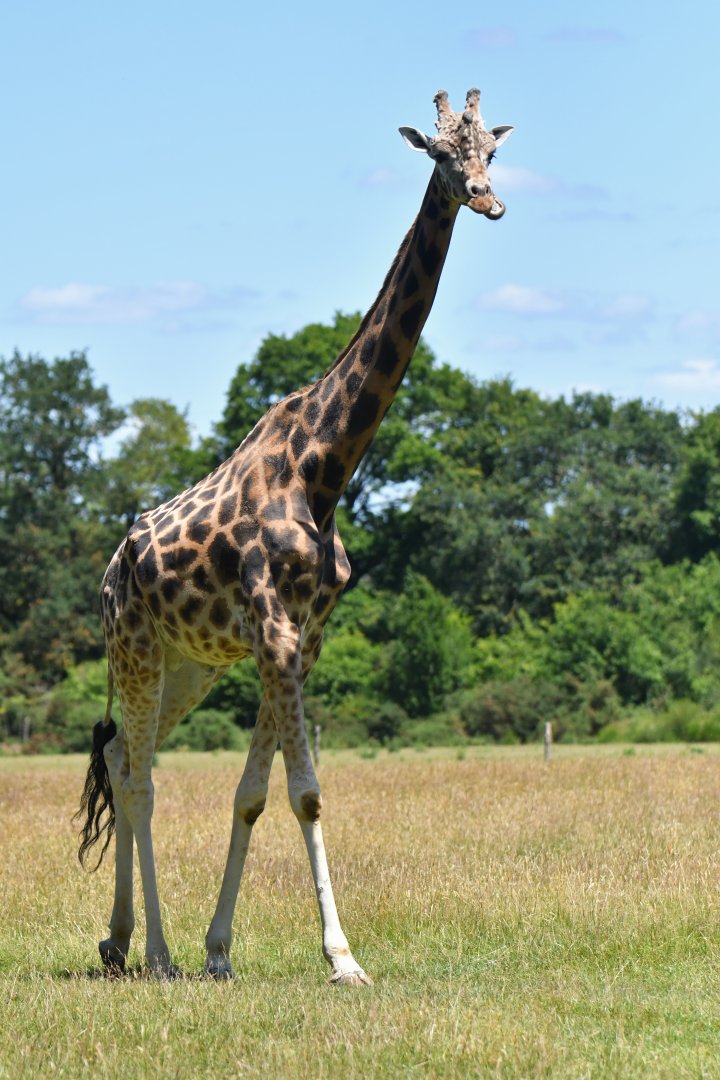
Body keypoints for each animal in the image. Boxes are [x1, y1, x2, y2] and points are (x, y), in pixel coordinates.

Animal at [76, 87, 514, 984]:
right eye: (440, 155)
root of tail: (108, 571)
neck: (326, 469)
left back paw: (120, 940)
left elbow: (254, 792)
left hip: (188, 665)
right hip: (132, 647)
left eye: (492, 148)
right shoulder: (274, 631)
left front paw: (221, 950)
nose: (489, 200)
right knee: (137, 781)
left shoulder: (302, 638)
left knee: (123, 758)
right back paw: (158, 953)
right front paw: (341, 958)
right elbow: (303, 791)